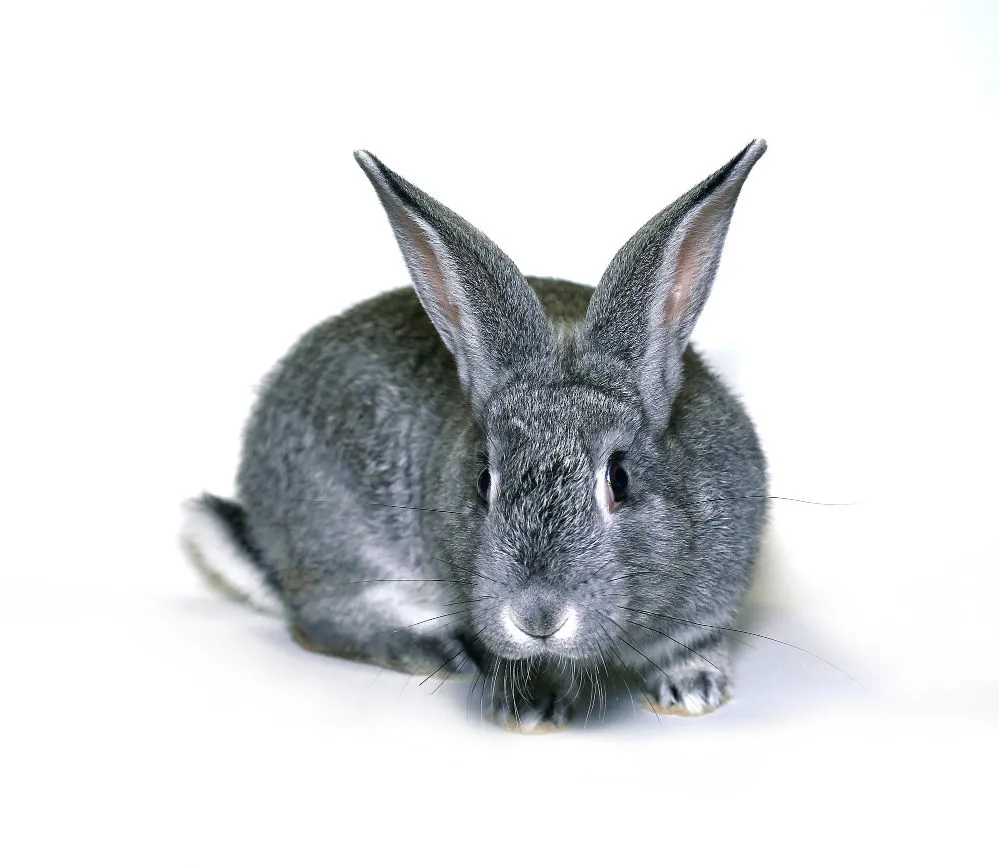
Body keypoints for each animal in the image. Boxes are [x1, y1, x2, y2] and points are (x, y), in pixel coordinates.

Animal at [182, 141, 772, 732]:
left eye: (619, 479)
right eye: (484, 482)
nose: (538, 617)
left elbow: (694, 644)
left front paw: (693, 690)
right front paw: (529, 705)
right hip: (341, 542)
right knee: (317, 620)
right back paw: (436, 651)